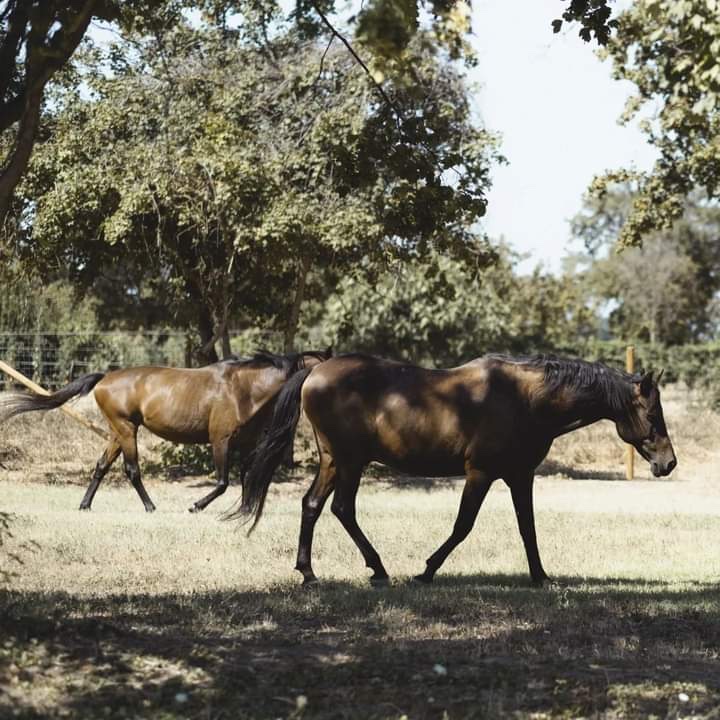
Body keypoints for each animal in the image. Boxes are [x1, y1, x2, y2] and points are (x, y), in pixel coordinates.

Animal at [0, 349, 331, 513]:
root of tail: (105, 378)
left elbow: (247, 478)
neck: (244, 388)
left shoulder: (247, 444)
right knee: (131, 470)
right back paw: (150, 507)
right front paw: (195, 506)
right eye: (322, 366)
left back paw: (84, 505)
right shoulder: (220, 441)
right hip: (126, 430)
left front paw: (245, 510)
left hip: (117, 432)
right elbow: (223, 482)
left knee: (102, 465)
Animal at [228, 352, 677, 586]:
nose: (668, 463)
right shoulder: (480, 474)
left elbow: (528, 528)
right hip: (350, 461)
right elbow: (463, 526)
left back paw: (313, 572)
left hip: (336, 461)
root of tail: (315, 370)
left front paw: (540, 576)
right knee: (340, 509)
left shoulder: (519, 476)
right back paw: (373, 569)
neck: (525, 399)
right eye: (652, 415)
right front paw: (427, 571)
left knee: (315, 506)